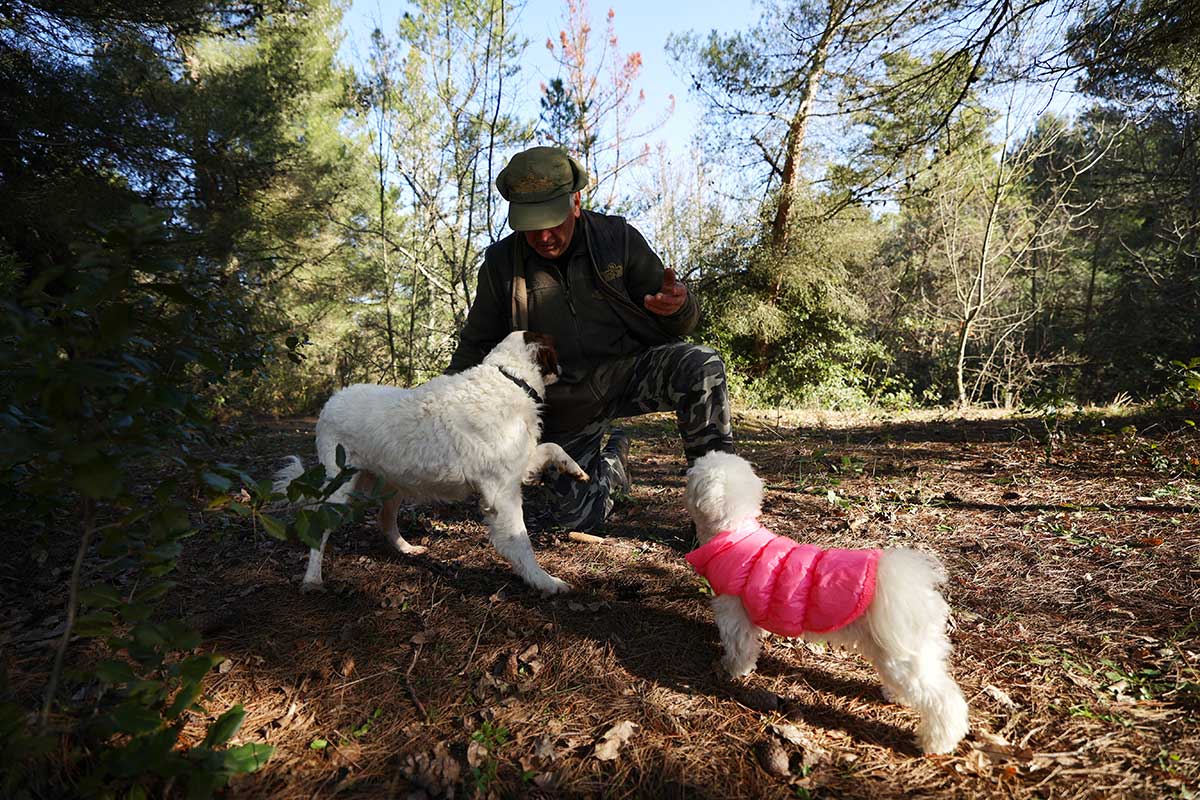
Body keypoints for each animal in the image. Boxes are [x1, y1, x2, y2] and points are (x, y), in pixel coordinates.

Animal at [273, 328, 590, 597]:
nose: (568, 369)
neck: (509, 378)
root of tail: (332, 401)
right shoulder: (502, 492)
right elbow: (521, 541)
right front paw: (542, 580)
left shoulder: (517, 466)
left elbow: (552, 446)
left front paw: (575, 469)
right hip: (338, 487)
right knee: (320, 530)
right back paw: (312, 579)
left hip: (392, 485)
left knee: (385, 520)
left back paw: (407, 549)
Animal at [681, 453, 969, 753]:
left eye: (694, 472)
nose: (684, 472)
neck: (735, 531)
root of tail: (909, 586)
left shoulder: (734, 614)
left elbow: (740, 648)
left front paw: (733, 670)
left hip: (902, 654)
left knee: (943, 698)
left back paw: (938, 741)